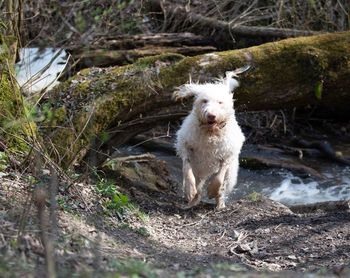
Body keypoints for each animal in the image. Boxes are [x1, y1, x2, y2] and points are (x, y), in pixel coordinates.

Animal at [174, 68, 246, 210]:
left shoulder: (228, 154)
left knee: (223, 185)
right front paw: (190, 190)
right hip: (200, 170)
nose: (211, 115)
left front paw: (212, 191)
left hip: (230, 174)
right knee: (198, 185)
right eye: (204, 100)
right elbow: (187, 167)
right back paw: (192, 201)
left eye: (220, 102)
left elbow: (219, 177)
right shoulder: (185, 145)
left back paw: (220, 204)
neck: (210, 133)